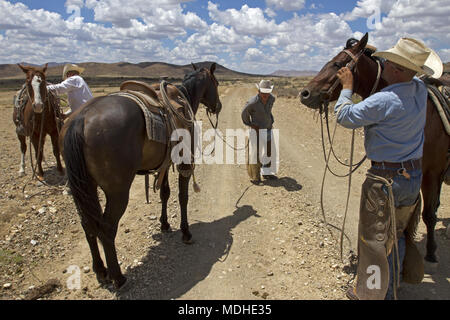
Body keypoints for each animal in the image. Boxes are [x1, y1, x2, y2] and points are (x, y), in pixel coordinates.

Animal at [59, 62, 221, 288]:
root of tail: (81, 119)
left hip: (84, 187)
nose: (219, 106)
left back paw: (100, 270)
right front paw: (186, 232)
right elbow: (182, 197)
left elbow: (164, 193)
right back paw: (118, 277)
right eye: (217, 83)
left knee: (87, 223)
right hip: (117, 191)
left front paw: (164, 224)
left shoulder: (164, 164)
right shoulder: (184, 162)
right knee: (107, 228)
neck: (183, 99)